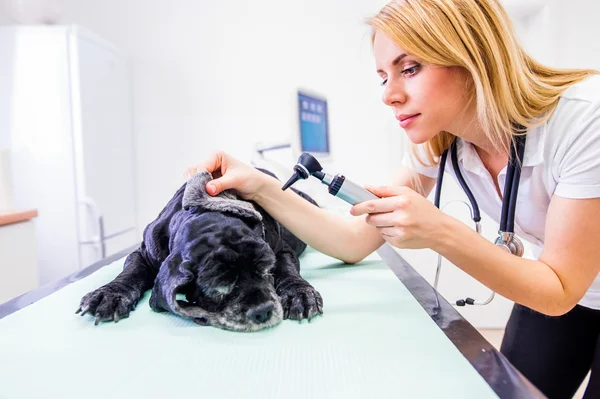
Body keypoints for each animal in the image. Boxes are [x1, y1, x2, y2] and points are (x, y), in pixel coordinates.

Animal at [79, 170, 326, 332]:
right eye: (217, 289)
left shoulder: (281, 250)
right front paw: (110, 294)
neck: (206, 212)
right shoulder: (143, 253)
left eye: (266, 270)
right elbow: (130, 272)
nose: (263, 310)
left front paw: (298, 294)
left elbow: (287, 271)